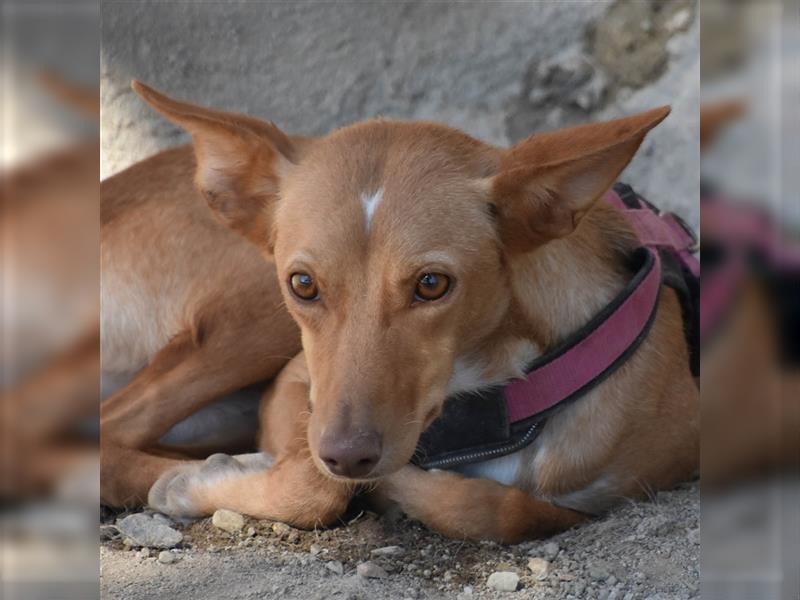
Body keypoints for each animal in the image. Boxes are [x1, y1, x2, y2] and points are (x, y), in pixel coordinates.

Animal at [101, 82, 700, 540]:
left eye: (432, 285)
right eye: (303, 284)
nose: (348, 455)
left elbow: (504, 509)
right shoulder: (295, 388)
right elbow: (316, 485)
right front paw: (200, 482)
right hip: (252, 321)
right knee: (111, 436)